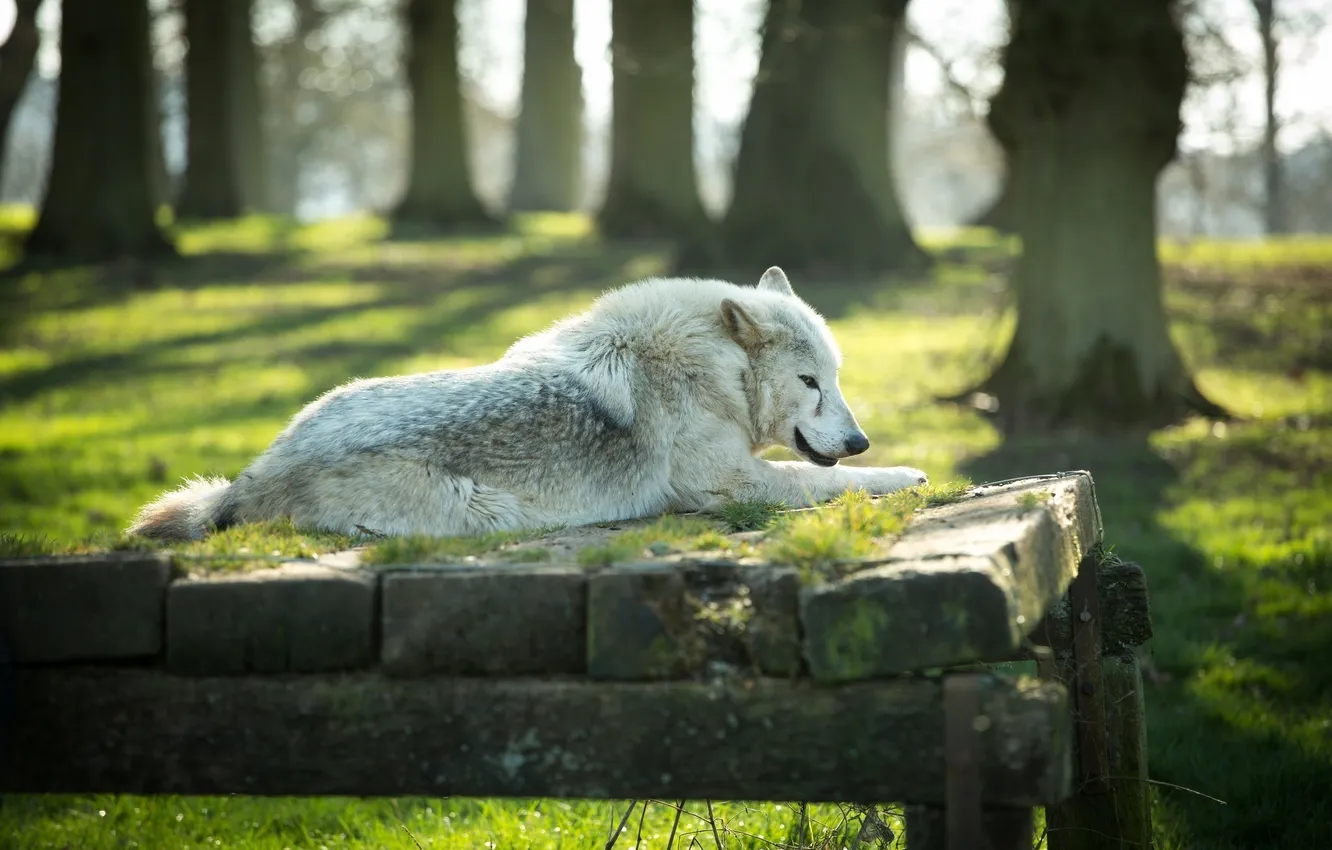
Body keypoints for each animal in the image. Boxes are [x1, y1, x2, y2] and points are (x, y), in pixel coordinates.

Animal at [127, 266, 928, 541]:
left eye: (837, 378)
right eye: (810, 383)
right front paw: (903, 473)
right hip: (487, 511)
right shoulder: (730, 484)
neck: (714, 369)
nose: (859, 438)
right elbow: (830, 481)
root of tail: (254, 474)